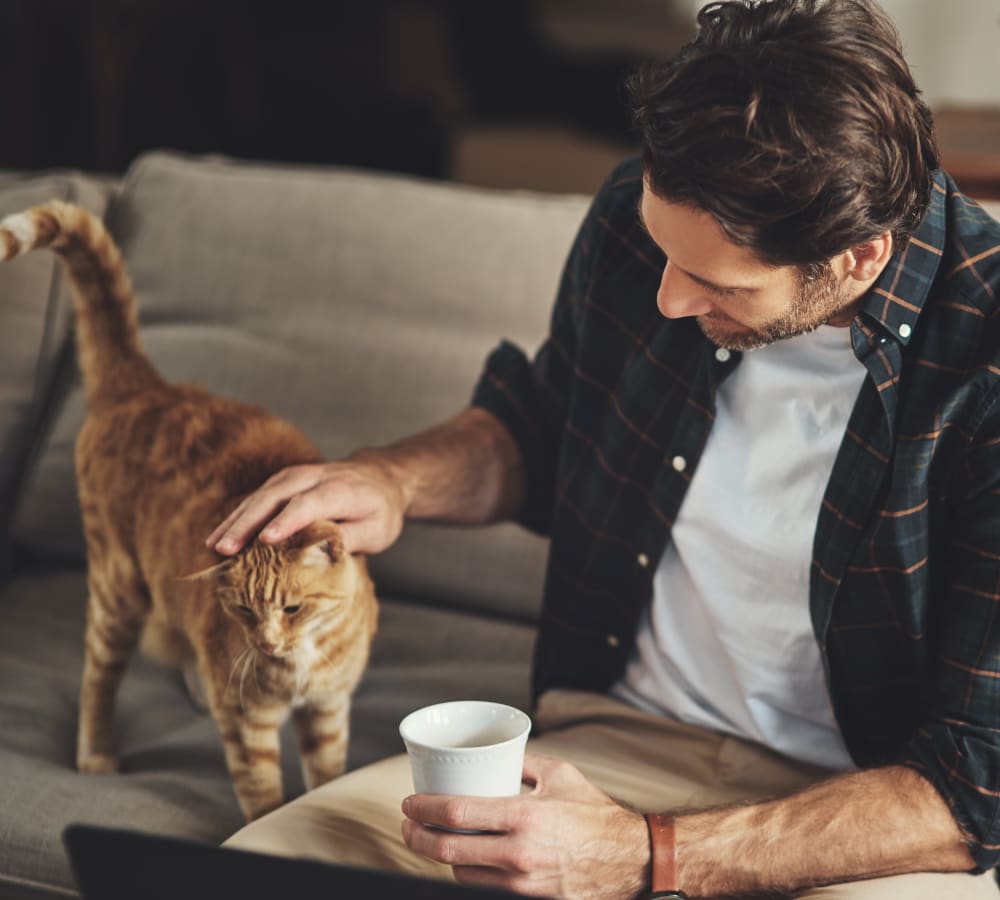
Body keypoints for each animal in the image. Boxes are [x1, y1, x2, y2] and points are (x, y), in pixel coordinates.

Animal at [0, 202, 378, 824]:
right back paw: (96, 755)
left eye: (293, 608)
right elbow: (263, 798)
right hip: (118, 589)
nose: (265, 644)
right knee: (97, 680)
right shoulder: (247, 724)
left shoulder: (327, 711)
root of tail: (146, 386)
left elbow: (327, 780)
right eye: (244, 613)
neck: (298, 665)